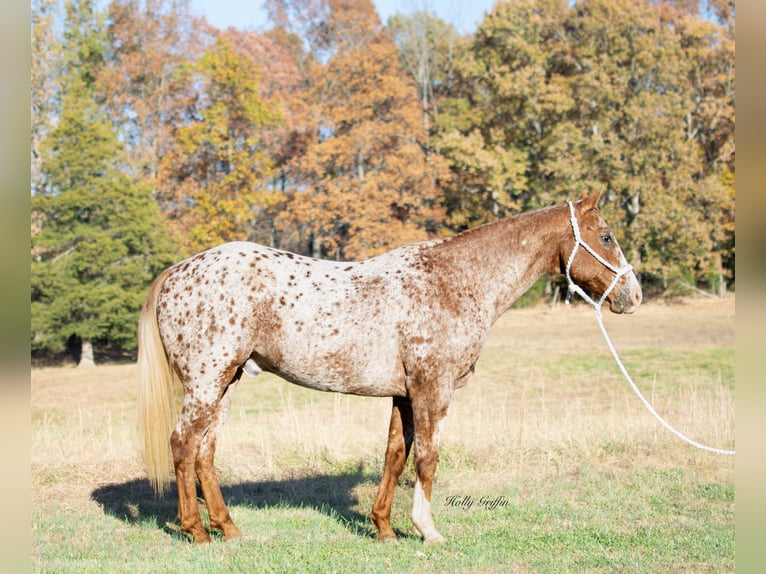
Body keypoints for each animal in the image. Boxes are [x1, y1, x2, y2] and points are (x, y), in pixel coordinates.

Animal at [138, 192, 640, 544]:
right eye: (607, 236)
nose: (632, 295)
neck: (456, 280)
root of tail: (177, 271)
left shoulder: (404, 394)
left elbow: (395, 456)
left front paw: (382, 528)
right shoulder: (432, 390)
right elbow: (428, 459)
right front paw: (427, 530)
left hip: (225, 384)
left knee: (204, 453)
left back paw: (228, 529)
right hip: (207, 385)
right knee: (183, 445)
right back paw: (196, 531)